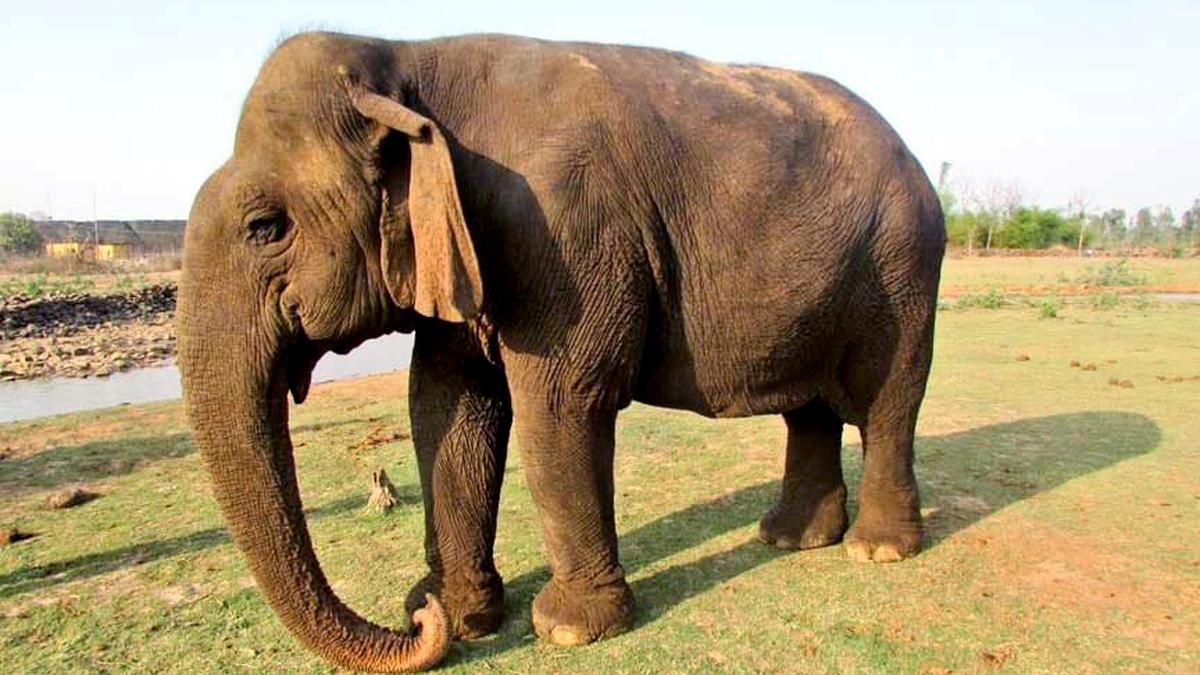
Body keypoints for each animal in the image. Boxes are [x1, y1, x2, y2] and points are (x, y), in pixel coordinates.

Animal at [178, 31, 945, 672]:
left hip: (904, 266)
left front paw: (569, 629)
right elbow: (447, 406)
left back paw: (876, 549)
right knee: (810, 409)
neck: (407, 60)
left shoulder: (566, 231)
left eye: (264, 227)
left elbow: (559, 402)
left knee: (889, 401)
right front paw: (462, 614)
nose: (415, 618)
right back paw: (789, 539)